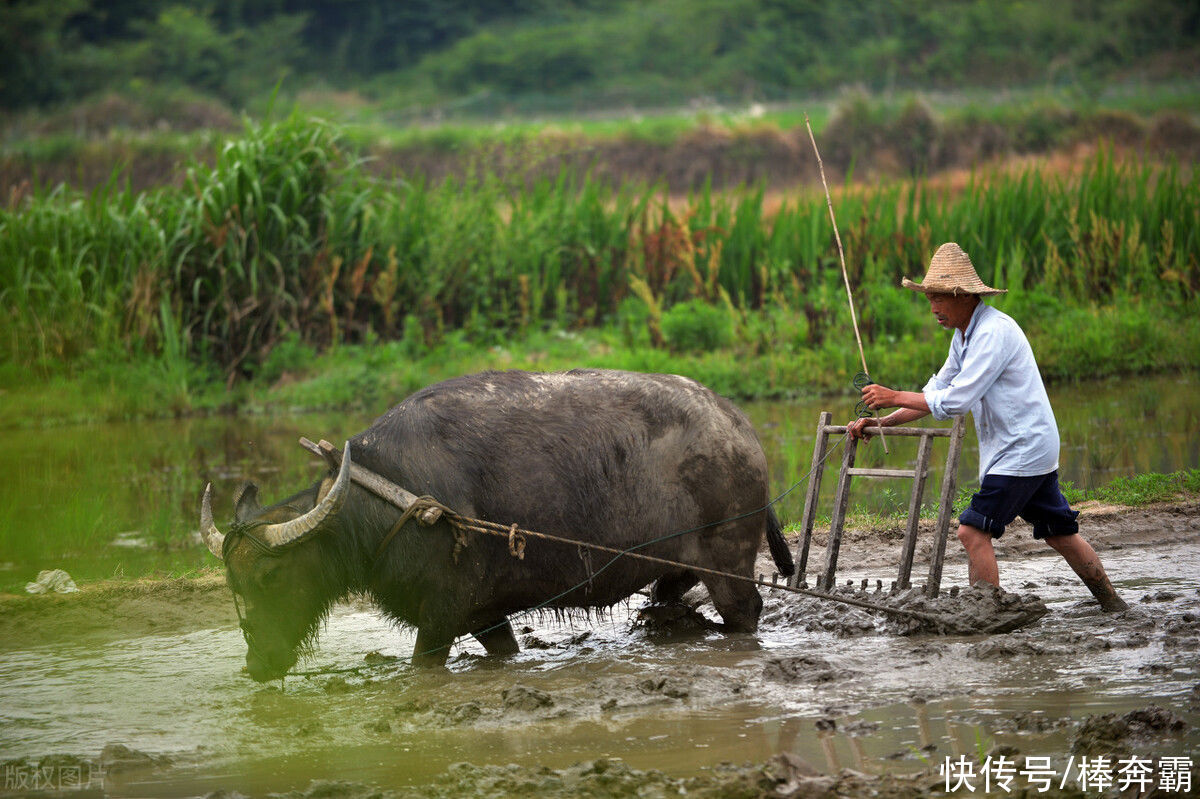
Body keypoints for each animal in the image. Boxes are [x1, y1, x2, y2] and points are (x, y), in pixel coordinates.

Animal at [201, 369, 792, 676]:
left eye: (272, 577)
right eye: (233, 583)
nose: (259, 662)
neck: (389, 504)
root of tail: (738, 426)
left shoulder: (440, 615)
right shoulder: (484, 615)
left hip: (730, 564)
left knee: (746, 612)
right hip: (676, 568)